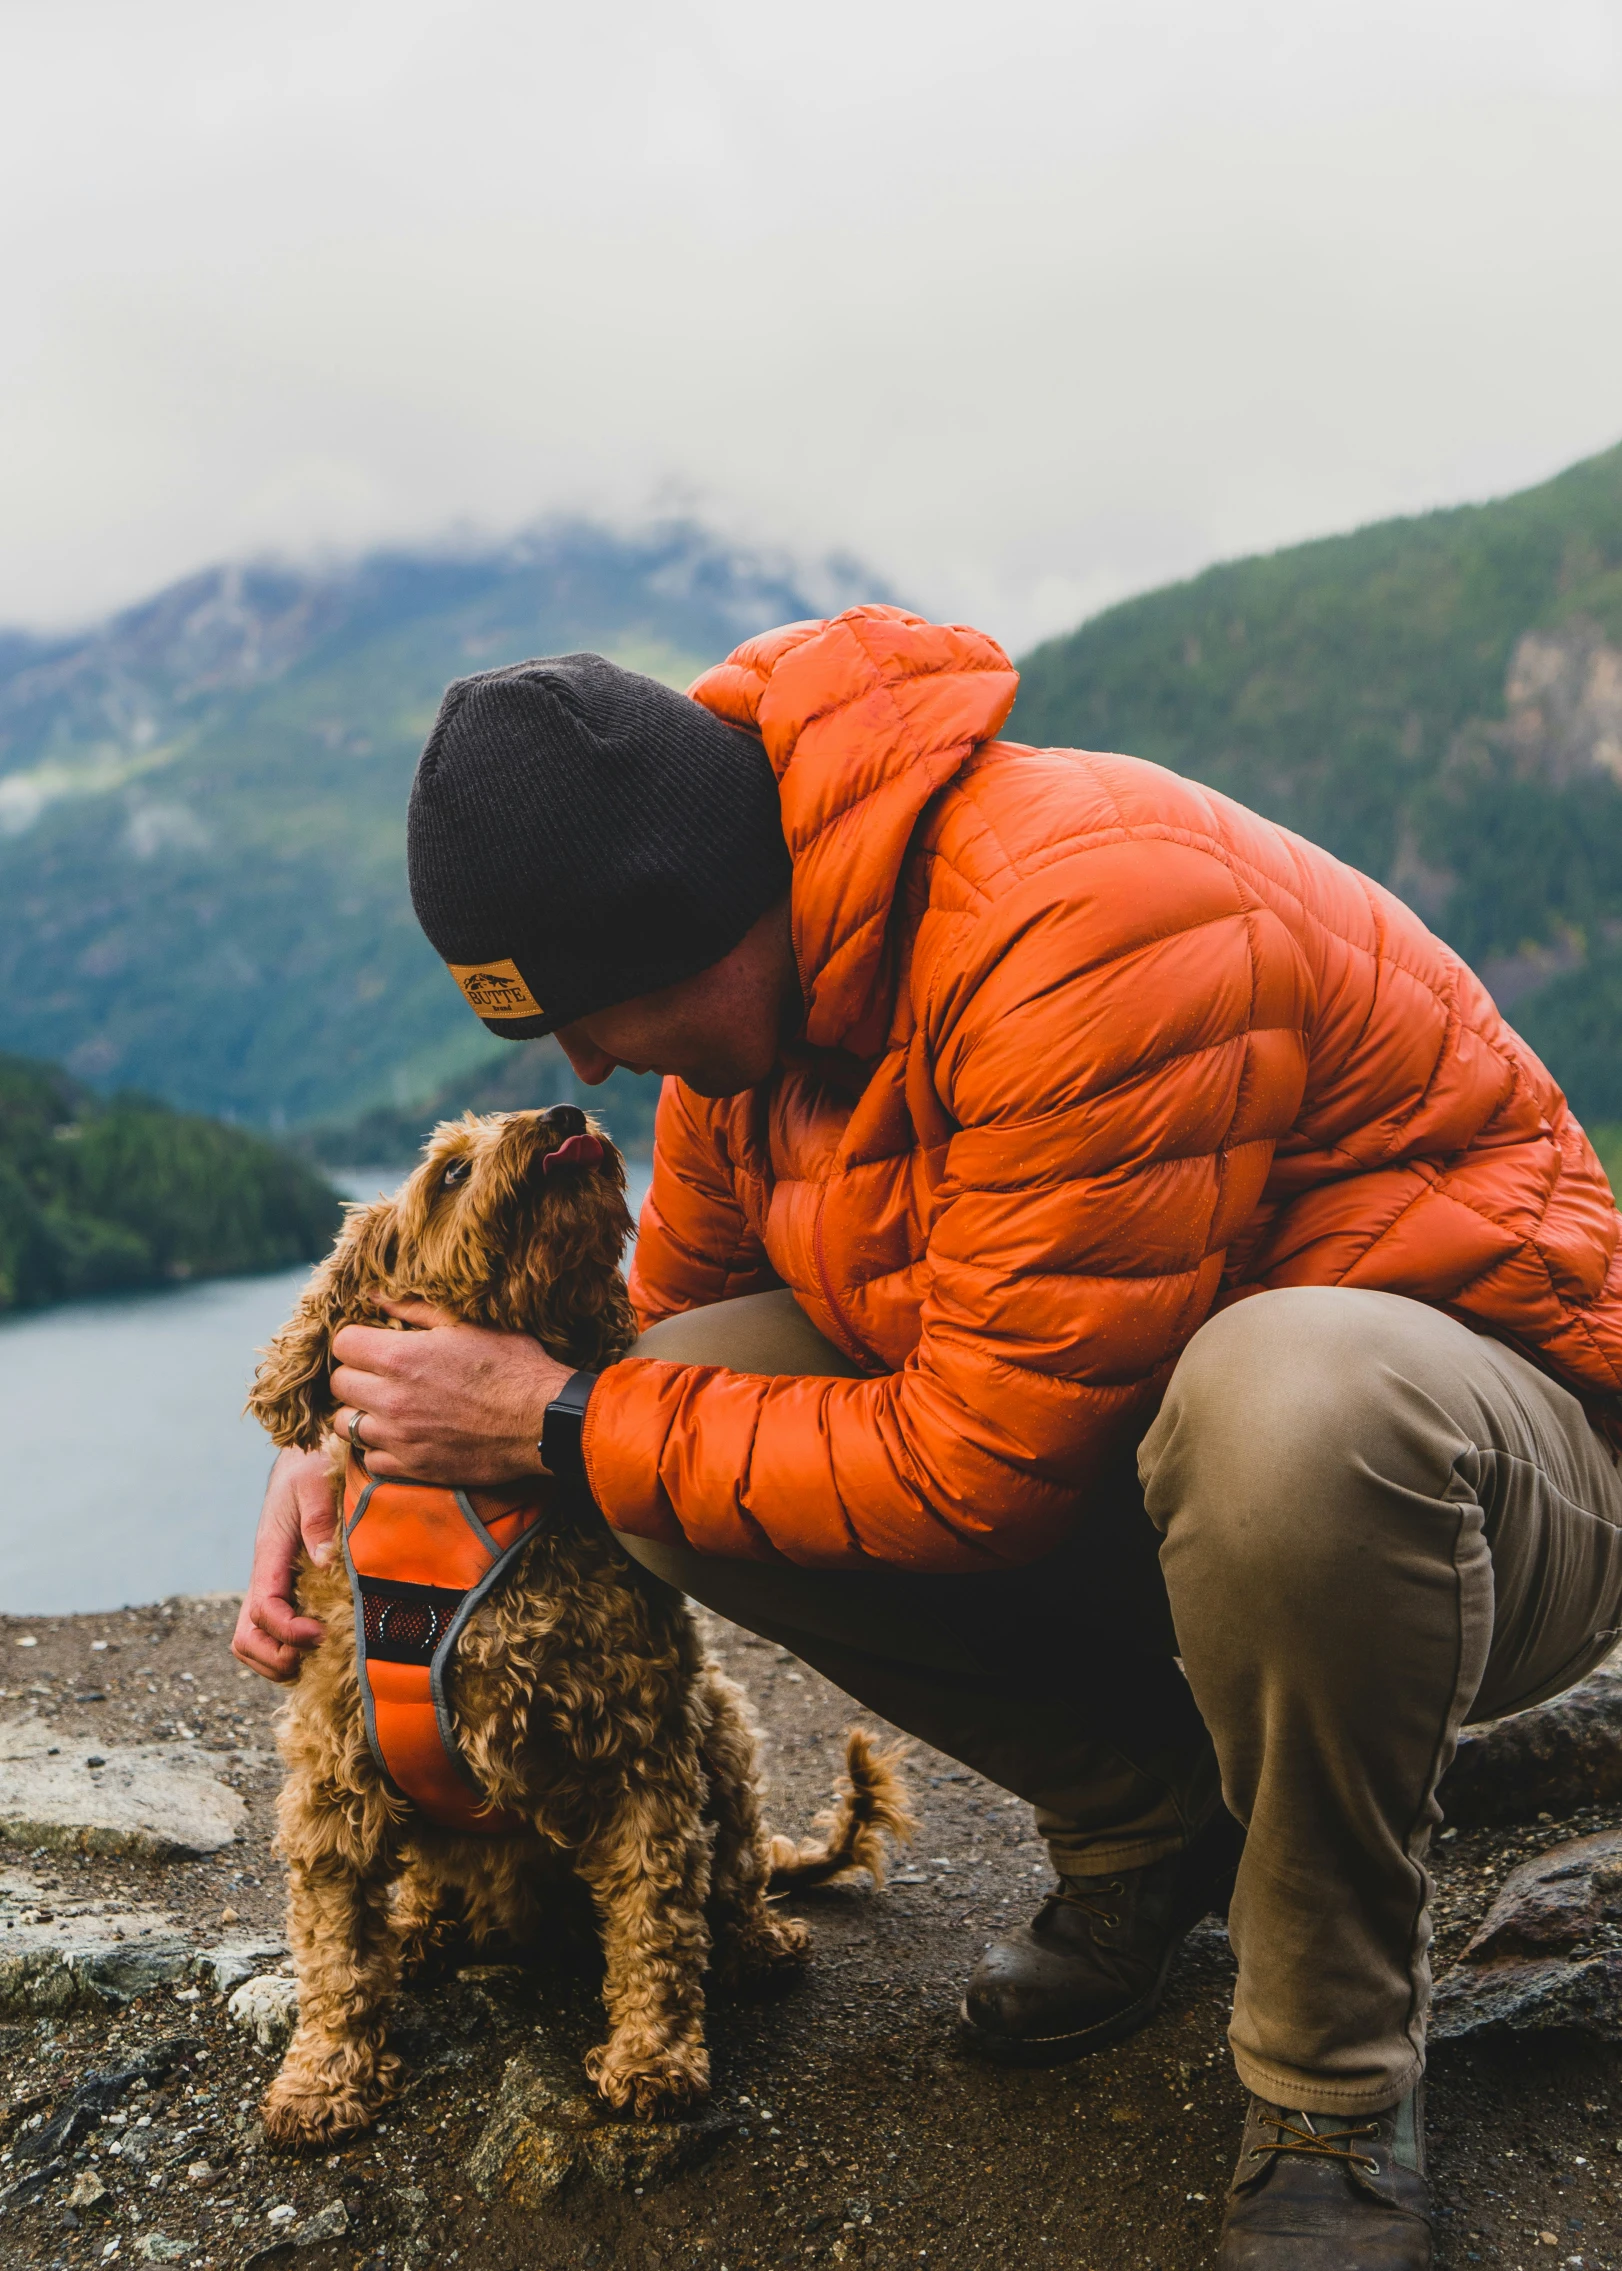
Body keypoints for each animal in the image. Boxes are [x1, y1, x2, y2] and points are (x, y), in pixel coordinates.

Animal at [247, 1108, 917, 2152]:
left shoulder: (643, 1754)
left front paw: (653, 2059)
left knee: (734, 1874)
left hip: (723, 1727)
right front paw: (323, 2079)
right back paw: (422, 1931)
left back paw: (757, 1944)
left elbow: (657, 1918)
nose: (565, 1118)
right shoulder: (335, 1774)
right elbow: (335, 1947)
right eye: (450, 1172)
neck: (468, 1498)